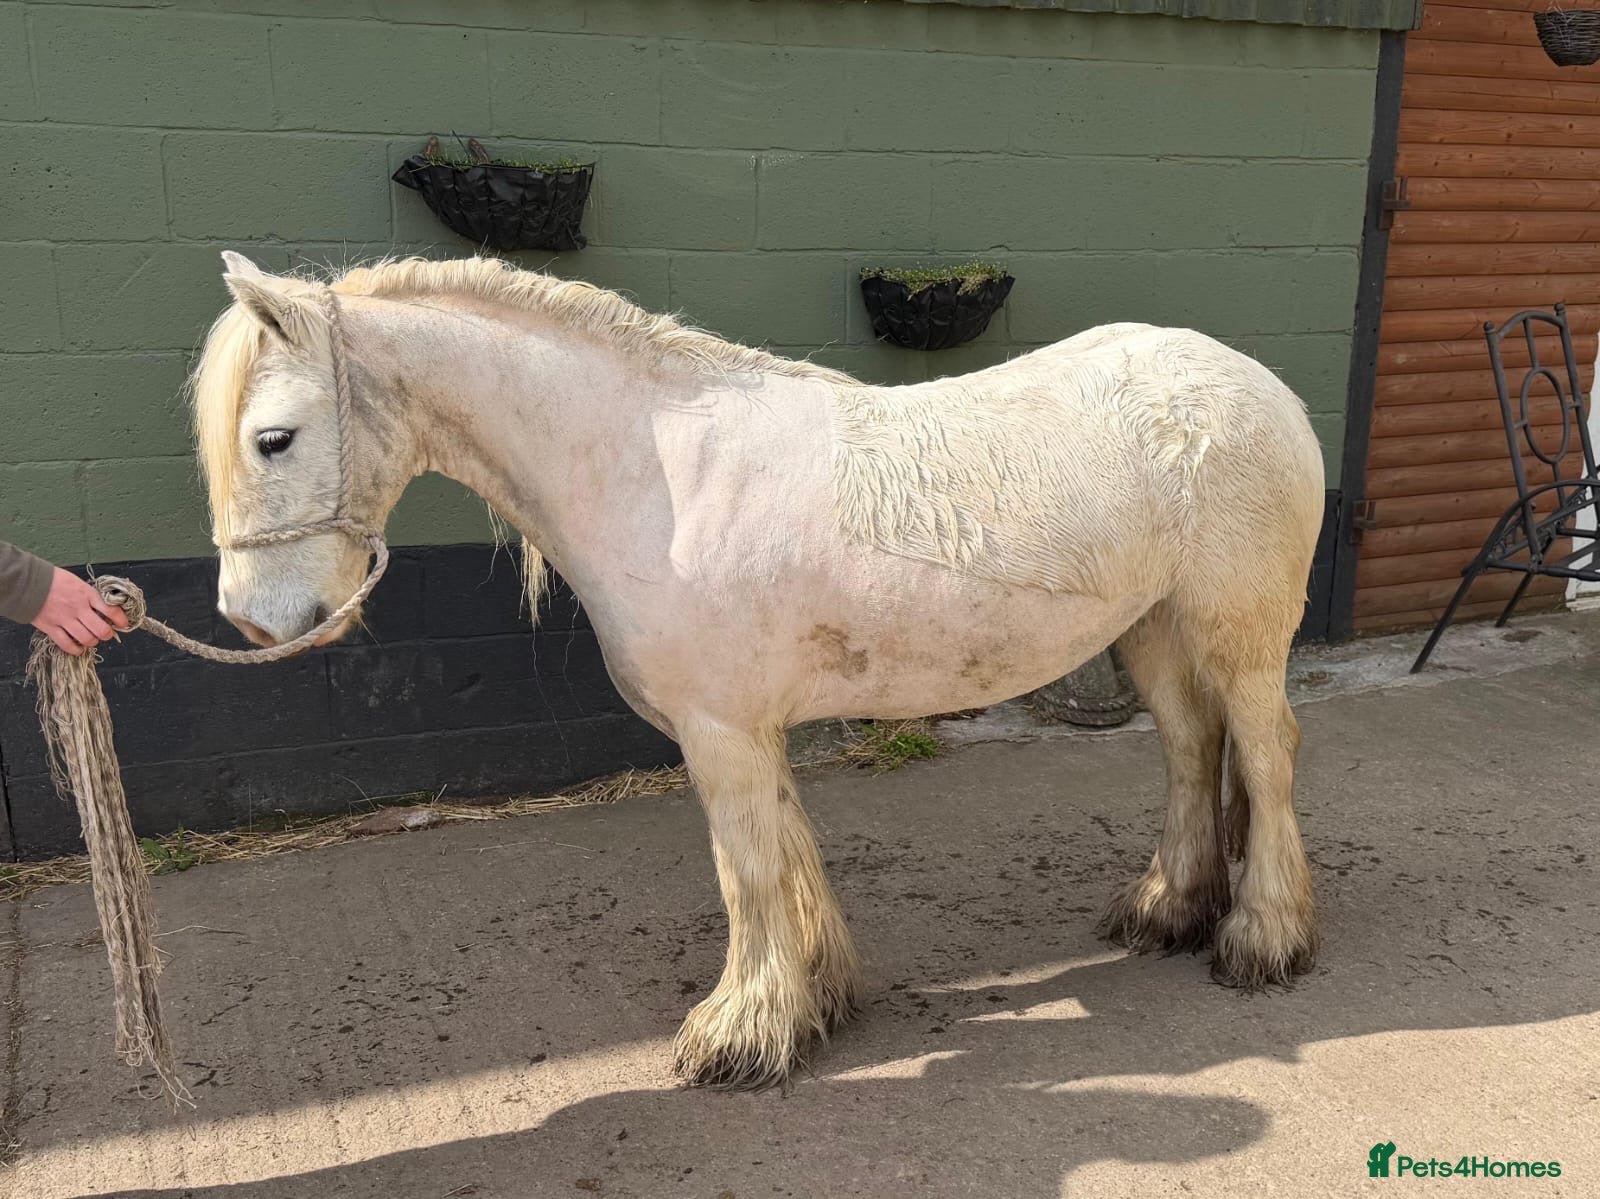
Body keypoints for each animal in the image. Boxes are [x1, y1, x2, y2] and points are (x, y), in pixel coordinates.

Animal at [193, 252, 1325, 1090]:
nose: (254, 620)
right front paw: (813, 999)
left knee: (1265, 753)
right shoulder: (749, 726)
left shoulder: (721, 730)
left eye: (273, 438)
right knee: (1190, 747)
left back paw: (1263, 938)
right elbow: (784, 852)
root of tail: (1255, 385)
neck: (656, 472)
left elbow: (745, 871)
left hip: (1237, 628)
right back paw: (1168, 908)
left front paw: (741, 1032)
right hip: (1156, 626)